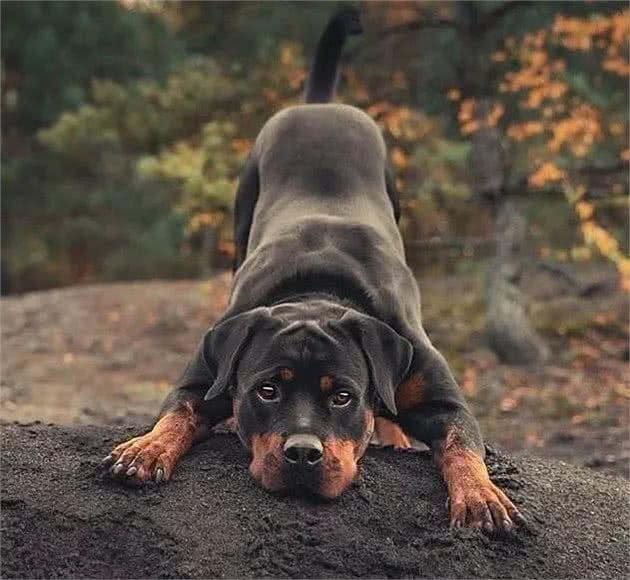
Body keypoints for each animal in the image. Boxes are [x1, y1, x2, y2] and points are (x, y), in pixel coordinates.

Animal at [106, 6, 524, 532]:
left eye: (342, 396)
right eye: (266, 391)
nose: (302, 454)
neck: (318, 293)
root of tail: (320, 104)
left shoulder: (443, 401)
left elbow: (462, 446)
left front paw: (479, 494)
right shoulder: (201, 377)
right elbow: (176, 414)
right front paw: (146, 448)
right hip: (242, 208)